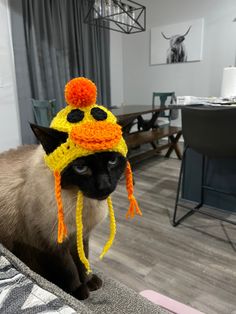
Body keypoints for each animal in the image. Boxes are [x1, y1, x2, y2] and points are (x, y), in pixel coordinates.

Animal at [0, 124, 126, 300]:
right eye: (81, 168)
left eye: (112, 161)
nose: (105, 186)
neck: (79, 201)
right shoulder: (54, 245)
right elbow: (69, 269)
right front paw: (80, 292)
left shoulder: (80, 237)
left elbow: (83, 260)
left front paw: (89, 282)